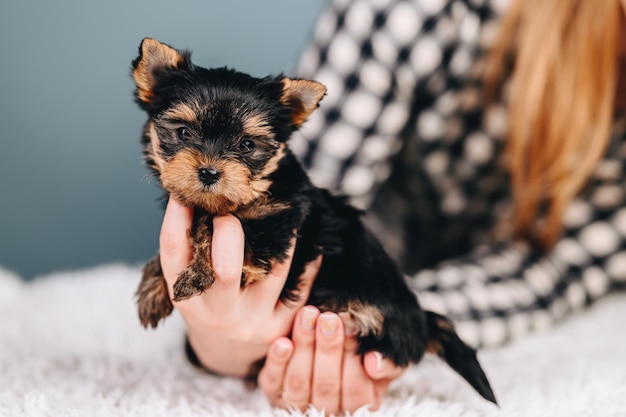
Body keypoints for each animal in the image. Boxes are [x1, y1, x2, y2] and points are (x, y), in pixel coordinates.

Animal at [133, 36, 498, 404]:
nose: (209, 173)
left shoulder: (279, 228)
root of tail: (420, 320)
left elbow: (208, 226)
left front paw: (193, 274)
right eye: (182, 133)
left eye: (247, 145)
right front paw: (153, 289)